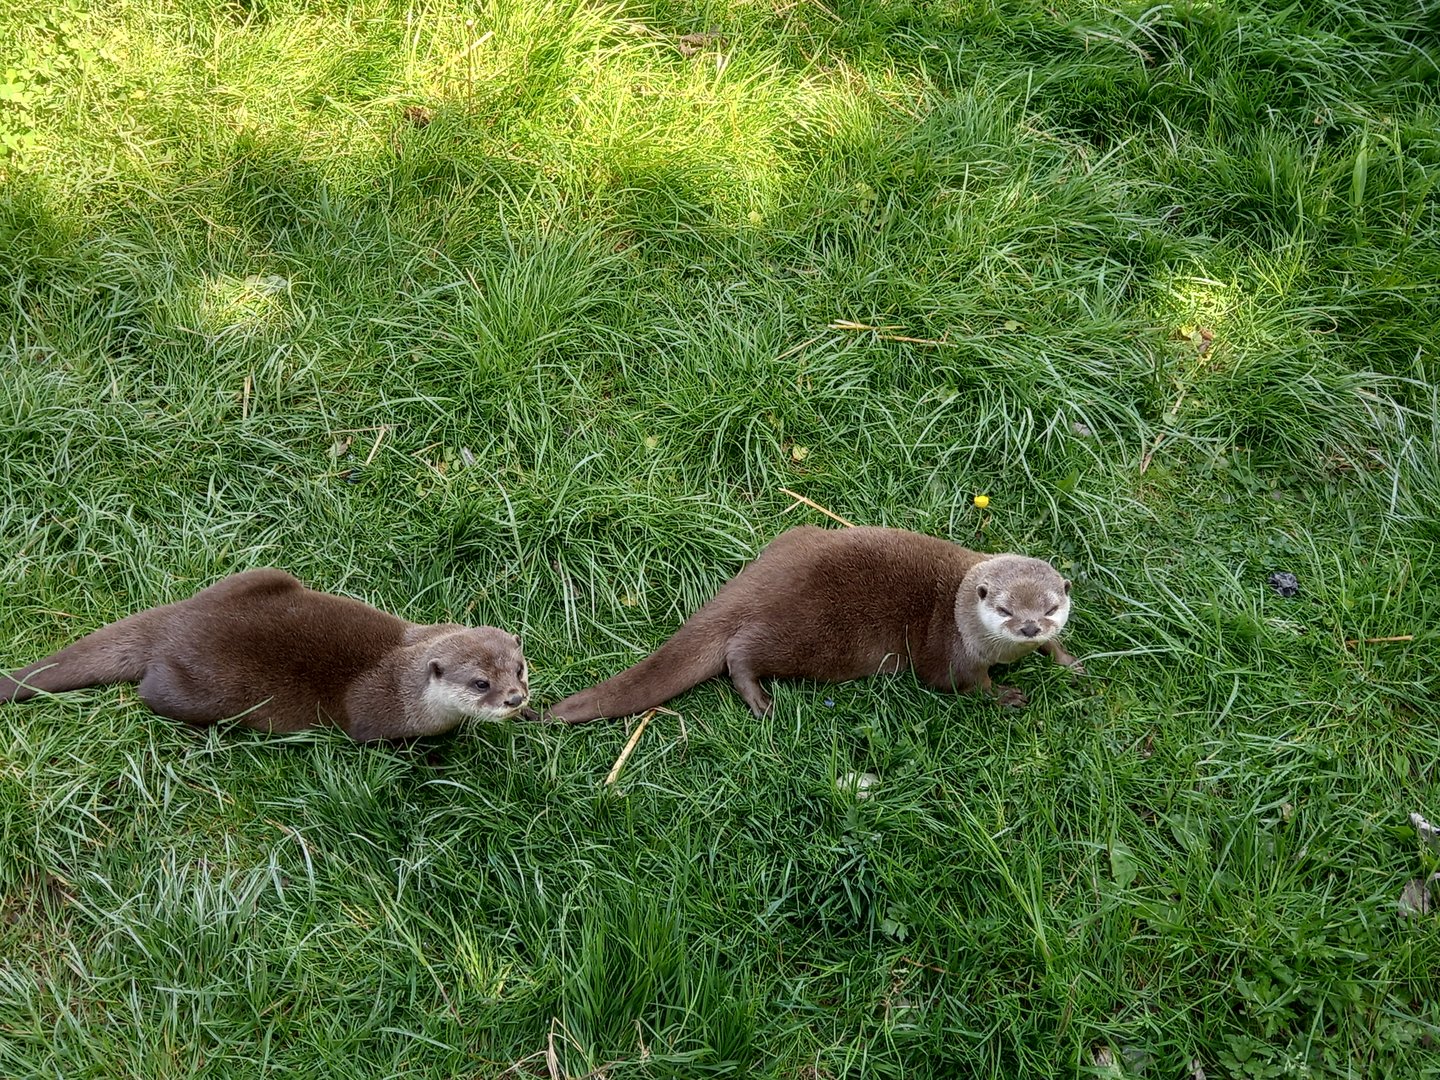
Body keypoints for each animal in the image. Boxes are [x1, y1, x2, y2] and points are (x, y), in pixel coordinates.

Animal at [1, 569, 534, 741]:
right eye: (480, 683)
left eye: (519, 669)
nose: (514, 698)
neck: (402, 679)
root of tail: (177, 624)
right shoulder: (376, 718)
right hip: (200, 691)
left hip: (261, 573)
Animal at [548, 525, 1082, 723]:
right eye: (1006, 610)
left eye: (1050, 609)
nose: (1030, 628)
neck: (959, 608)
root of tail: (756, 581)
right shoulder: (953, 651)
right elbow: (959, 684)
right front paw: (1006, 695)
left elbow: (1055, 652)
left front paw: (1066, 659)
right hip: (814, 636)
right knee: (740, 654)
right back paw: (760, 701)